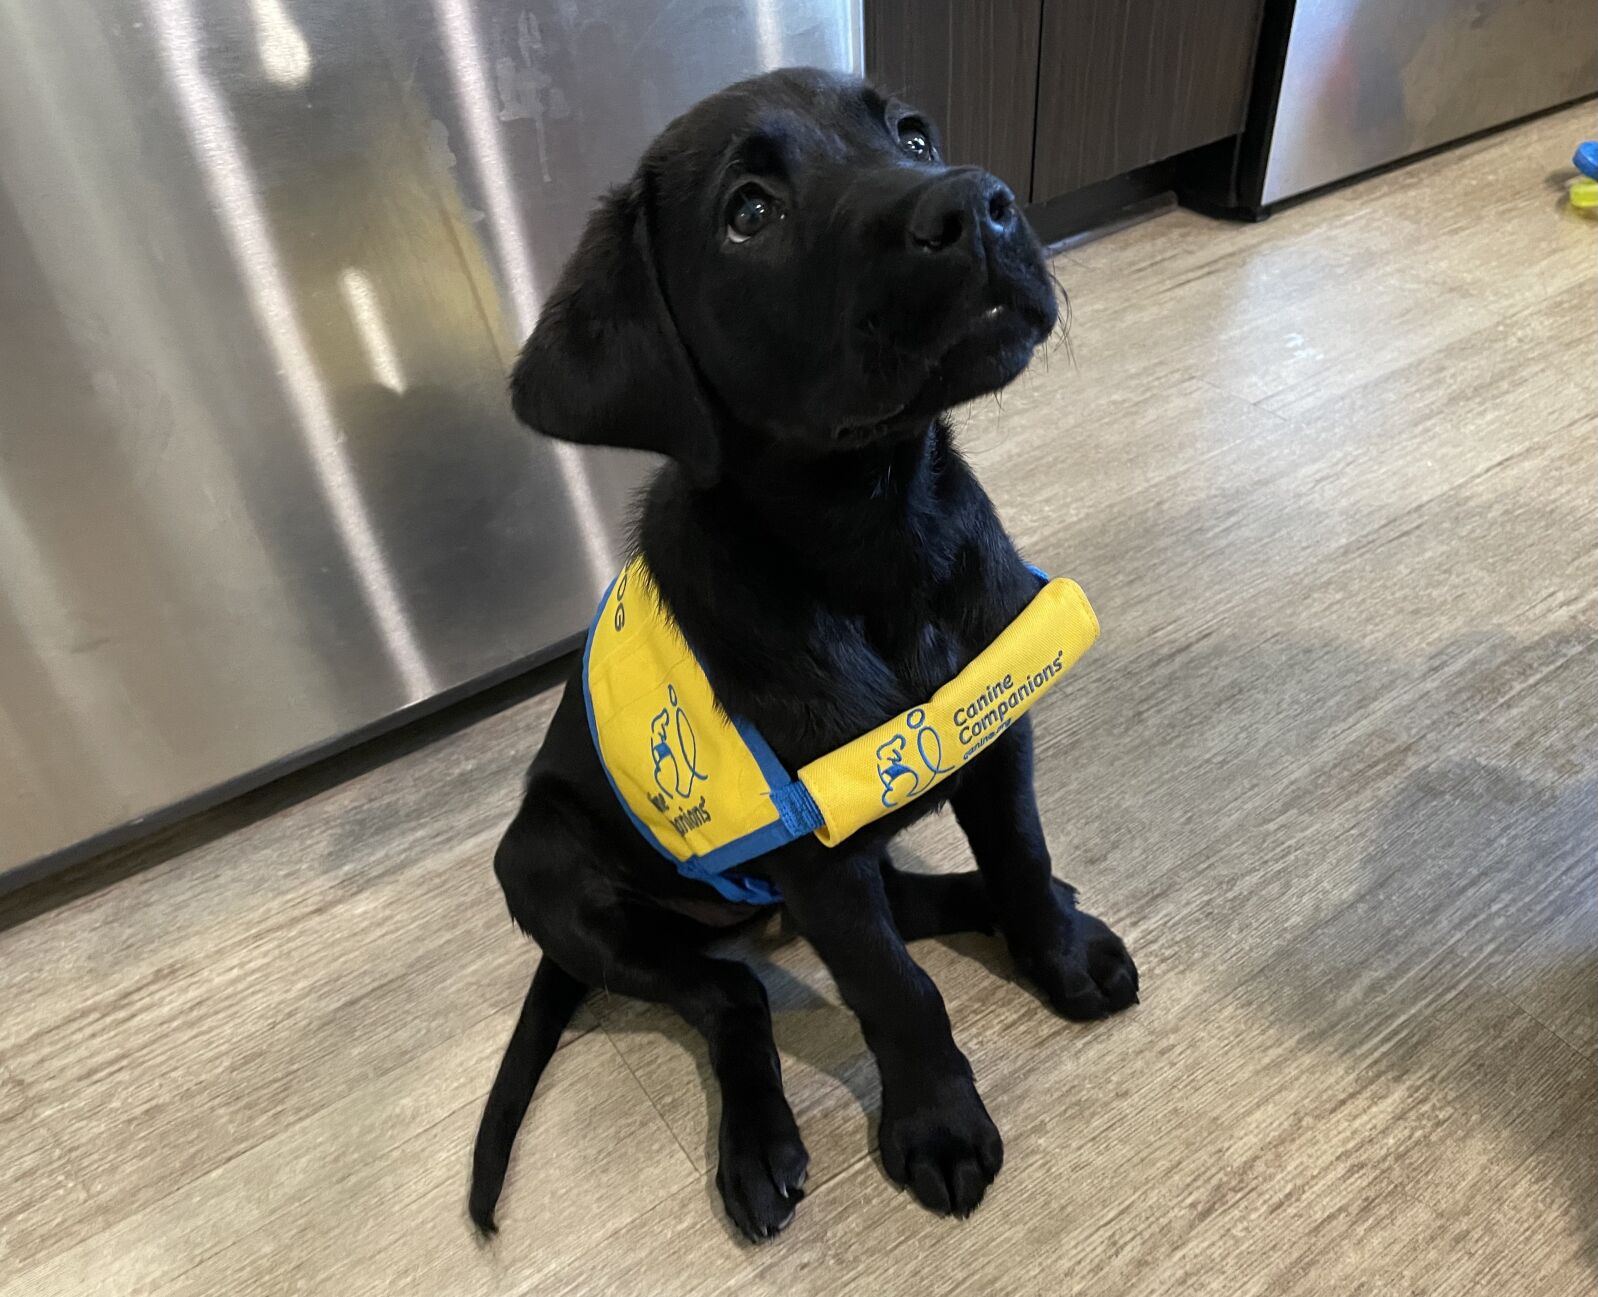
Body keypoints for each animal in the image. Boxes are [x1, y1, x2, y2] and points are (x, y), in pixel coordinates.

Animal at [469, 65, 1137, 1239]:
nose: (977, 205)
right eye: (749, 213)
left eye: (910, 134)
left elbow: (1019, 854)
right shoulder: (821, 860)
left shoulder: (991, 735)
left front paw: (1055, 950)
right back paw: (756, 1143)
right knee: (733, 990)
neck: (881, 540)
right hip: (545, 864)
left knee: (910, 903)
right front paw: (937, 1123)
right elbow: (891, 987)